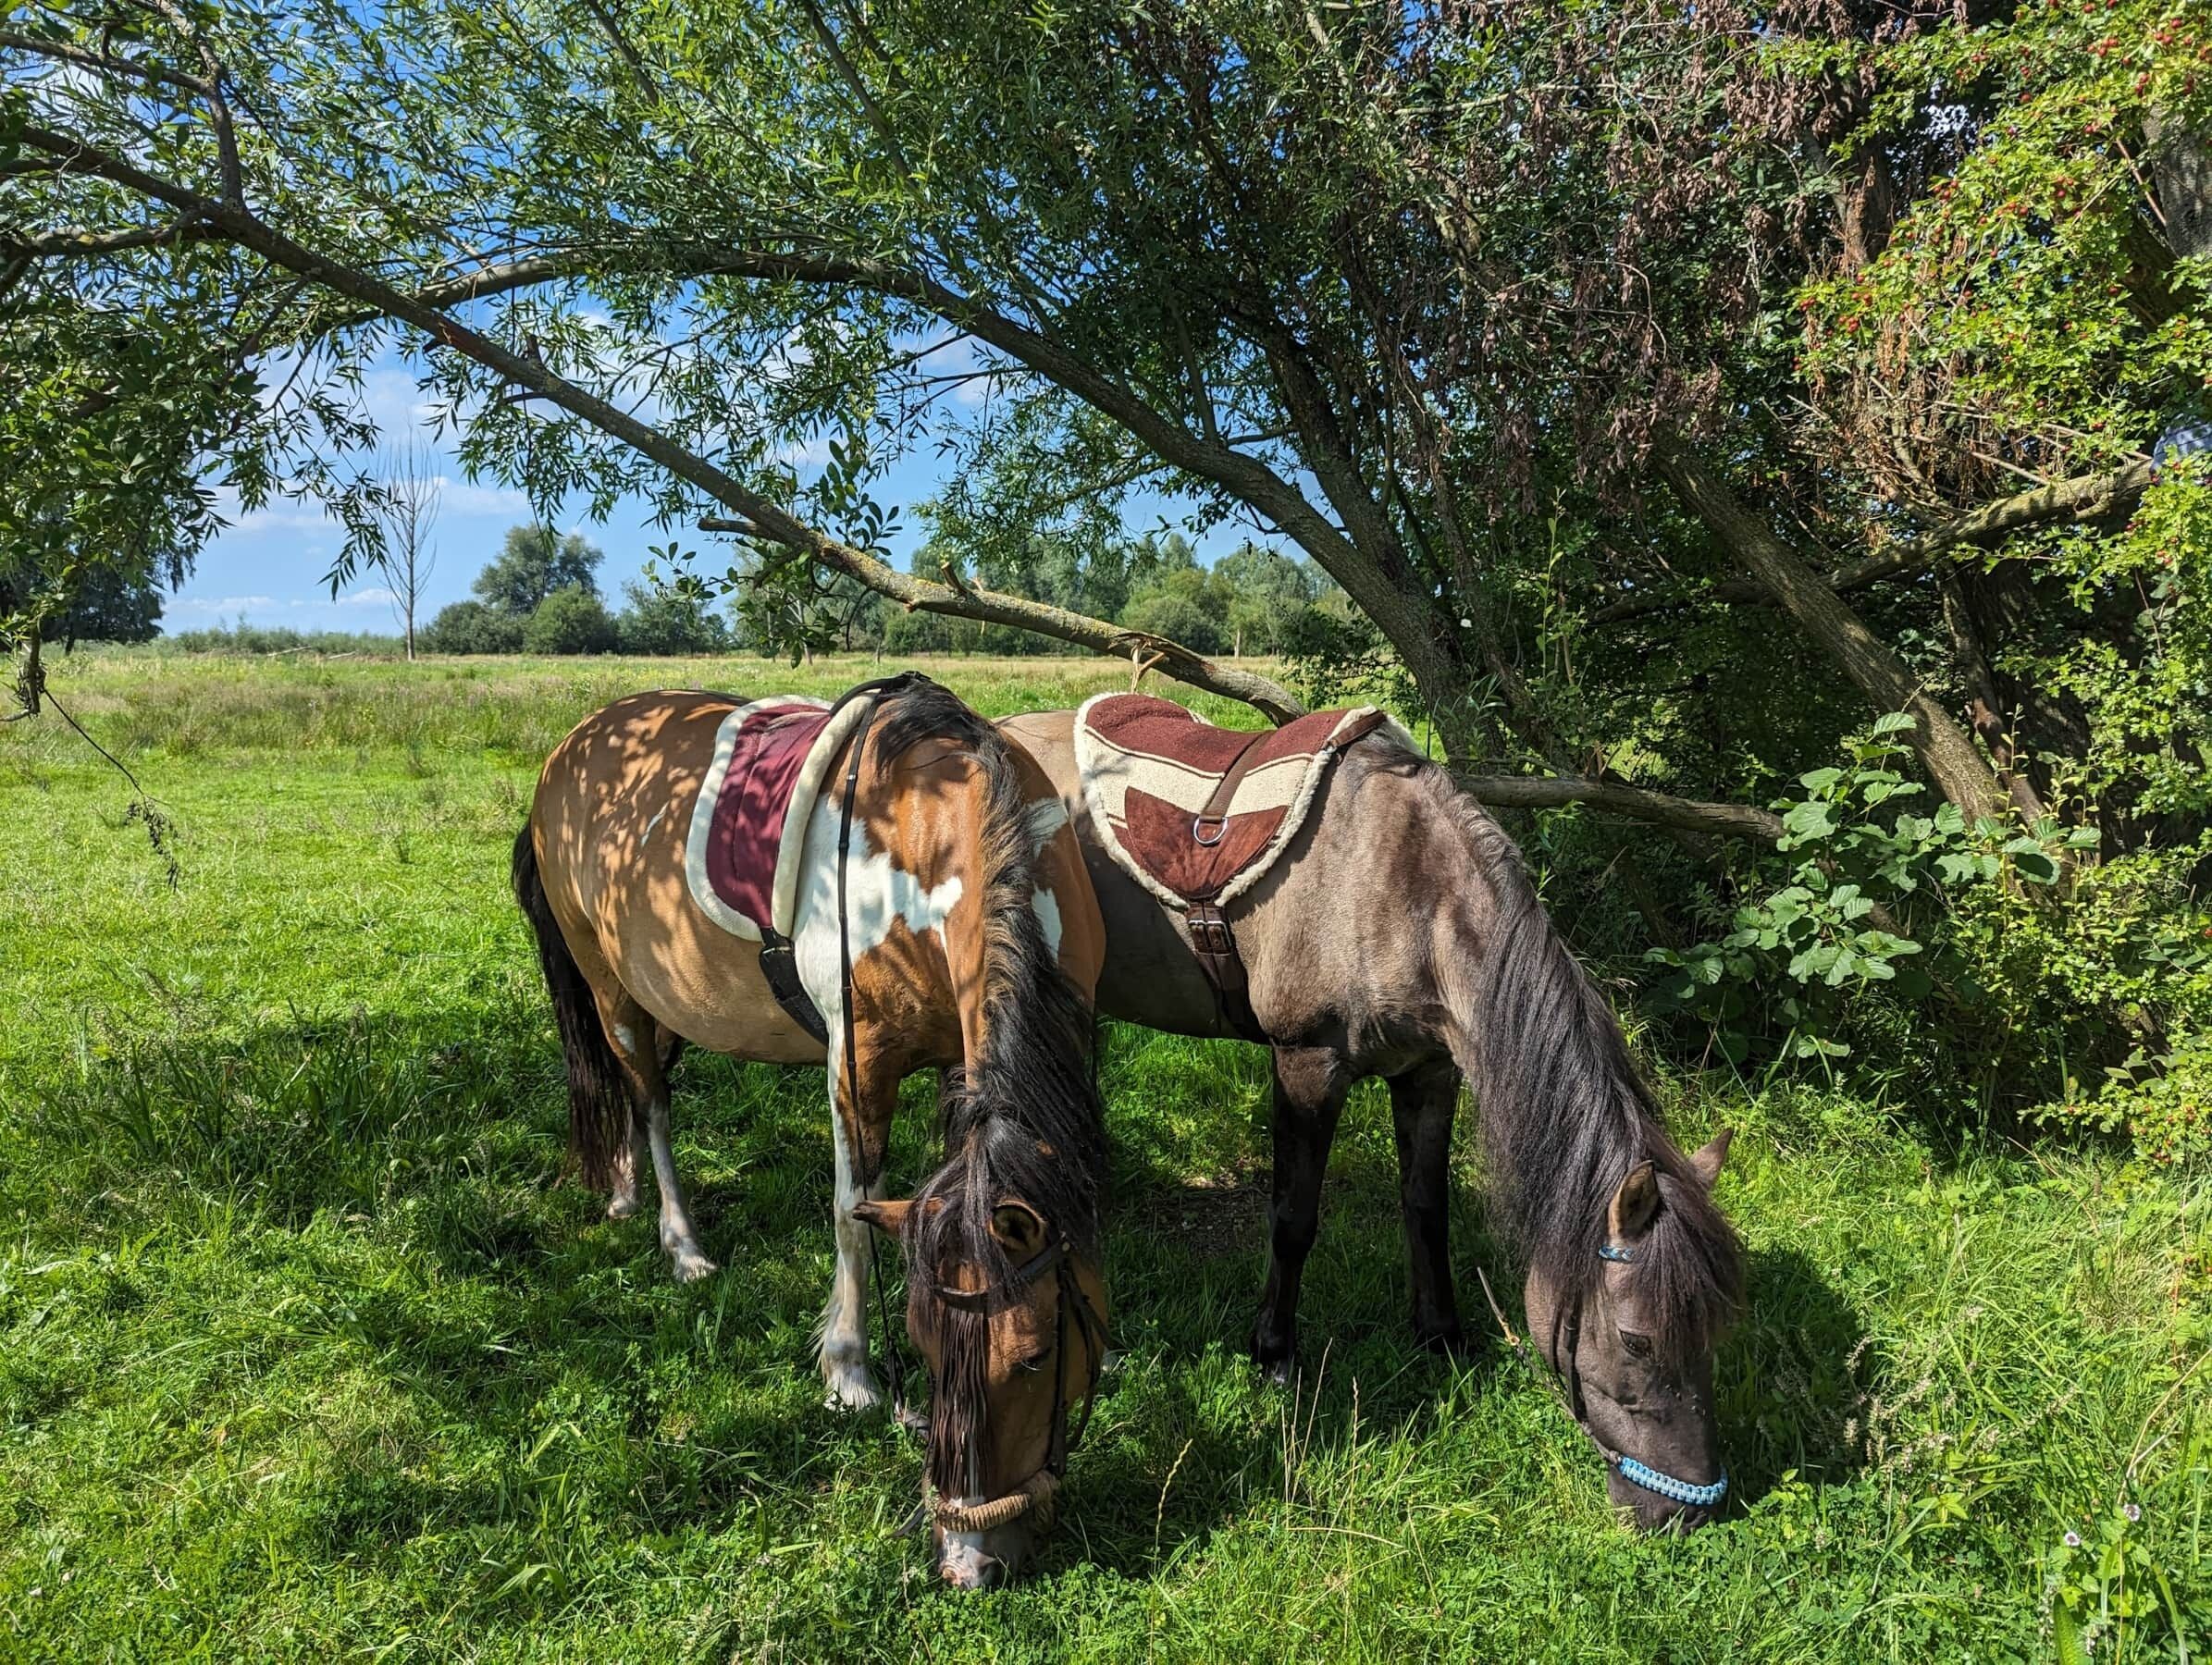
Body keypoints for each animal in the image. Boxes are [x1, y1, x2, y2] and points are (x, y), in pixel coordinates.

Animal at [513, 676, 1111, 1587]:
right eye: (920, 1349)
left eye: (1036, 1357)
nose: (966, 1561)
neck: (931, 835)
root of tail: (569, 749)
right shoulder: (856, 1062)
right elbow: (850, 1215)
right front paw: (847, 1374)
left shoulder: (965, 1070)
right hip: (609, 985)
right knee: (647, 1100)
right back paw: (681, 1245)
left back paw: (621, 1195)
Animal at [1002, 707, 1744, 1532]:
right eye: (1636, 1342)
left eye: (1718, 1330)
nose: (1688, 1508)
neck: (1404, 889)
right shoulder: (1306, 1065)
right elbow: (1293, 1220)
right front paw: (1274, 1354)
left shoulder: (1429, 1073)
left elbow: (1425, 1208)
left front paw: (1441, 1336)